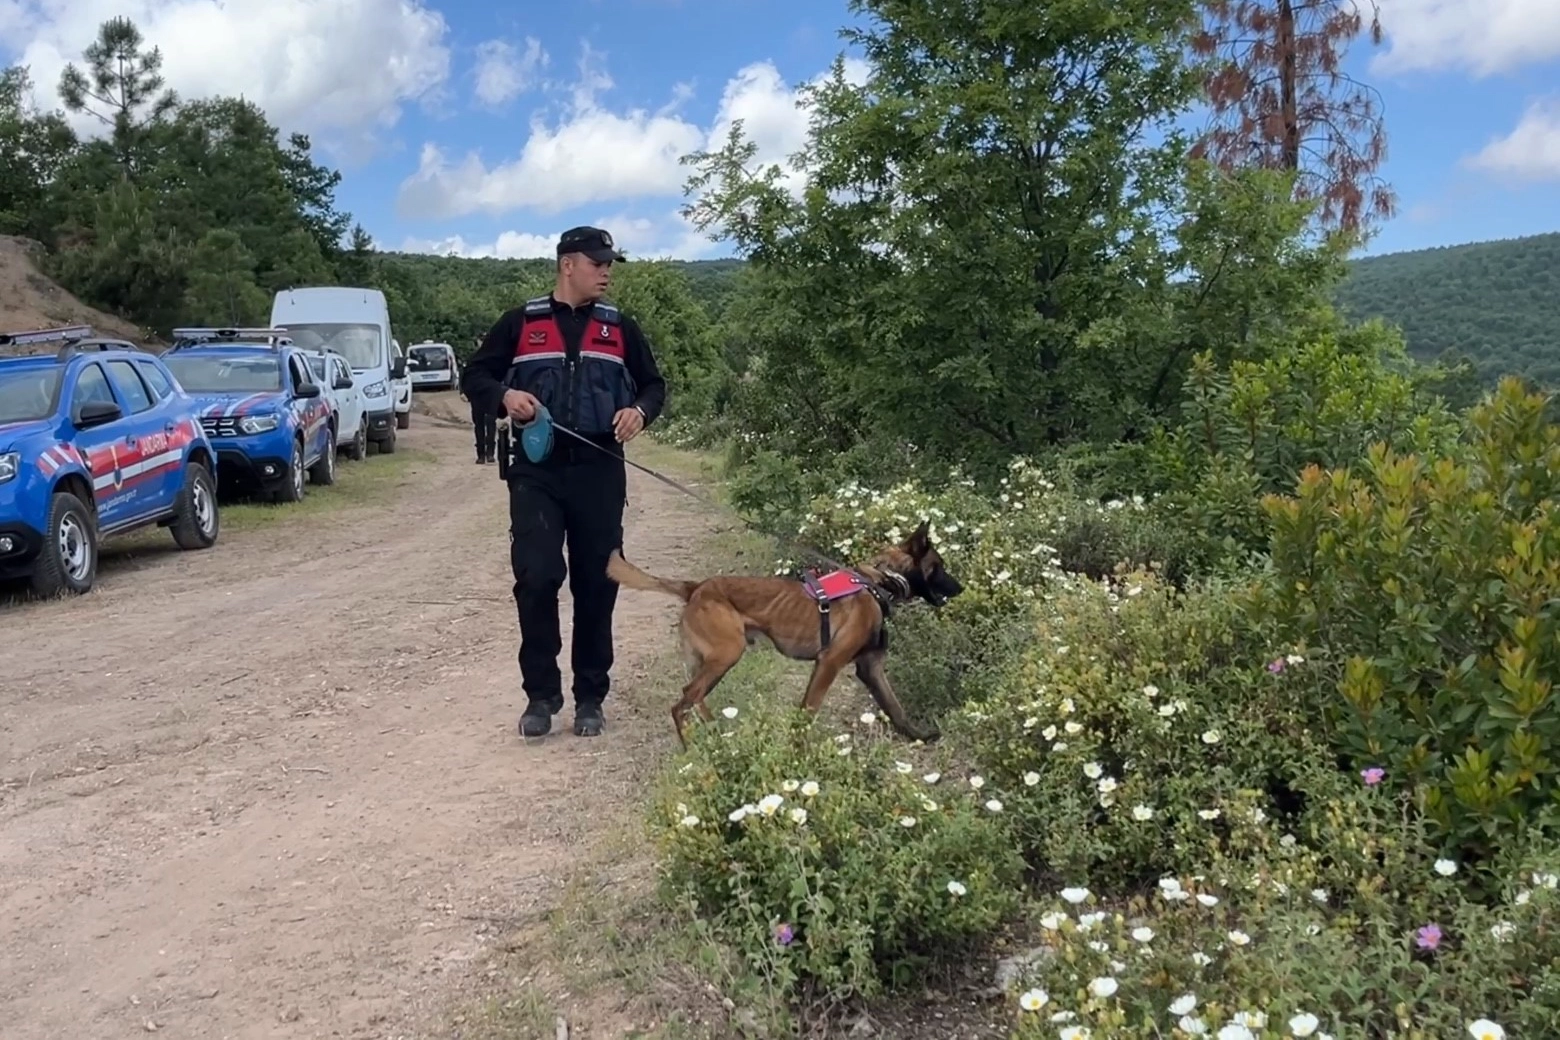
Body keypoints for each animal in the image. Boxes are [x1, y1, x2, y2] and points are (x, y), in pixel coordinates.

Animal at [599, 520, 954, 748]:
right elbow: (808, 710)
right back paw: (696, 746)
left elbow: (896, 708)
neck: (879, 581)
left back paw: (715, 736)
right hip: (727, 652)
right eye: (939, 567)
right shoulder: (829, 662)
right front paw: (799, 750)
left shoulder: (871, 668)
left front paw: (919, 736)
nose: (961, 588)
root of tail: (696, 587)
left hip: (711, 659)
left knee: (694, 697)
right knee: (683, 701)